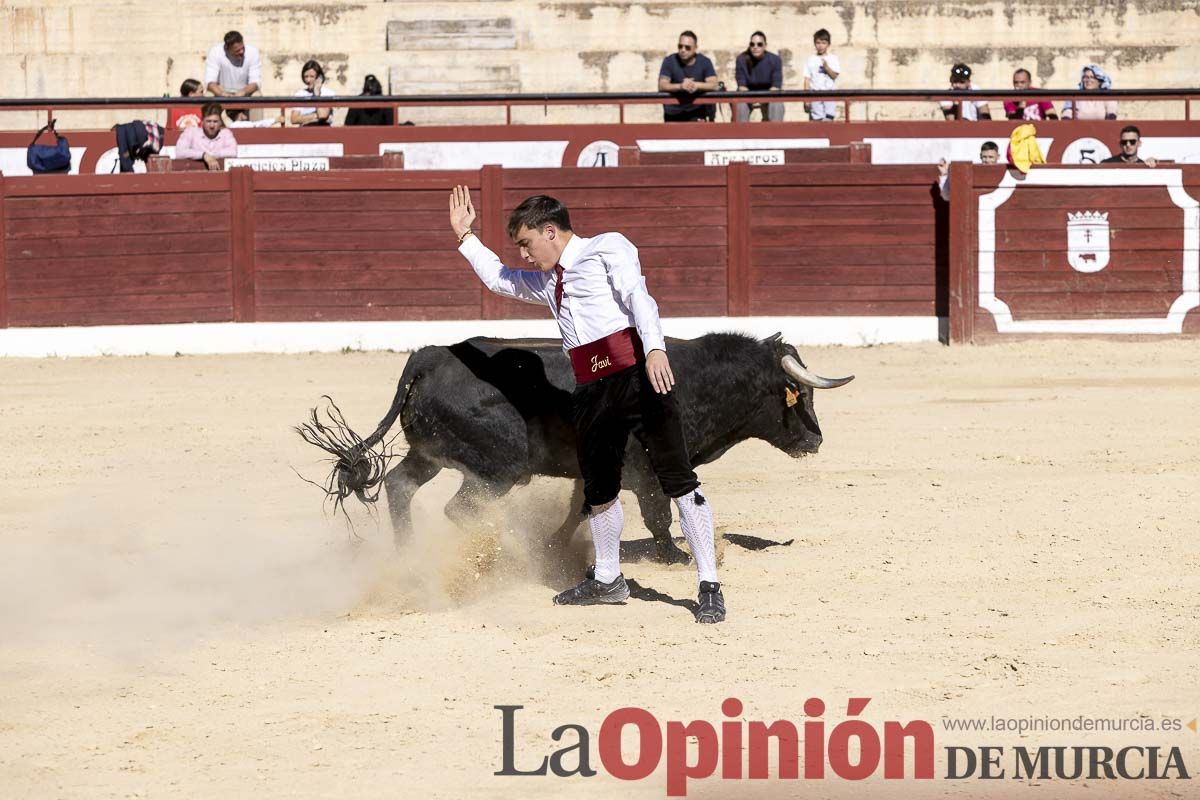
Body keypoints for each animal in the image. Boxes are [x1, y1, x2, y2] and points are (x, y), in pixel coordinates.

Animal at [300, 331, 854, 563]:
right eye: (799, 394)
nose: (816, 440)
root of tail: (429, 357)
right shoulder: (643, 470)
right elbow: (657, 516)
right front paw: (674, 555)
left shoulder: (597, 470)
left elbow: (579, 510)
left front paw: (556, 545)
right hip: (498, 469)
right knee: (462, 510)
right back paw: (508, 552)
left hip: (431, 455)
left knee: (399, 486)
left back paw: (408, 551)